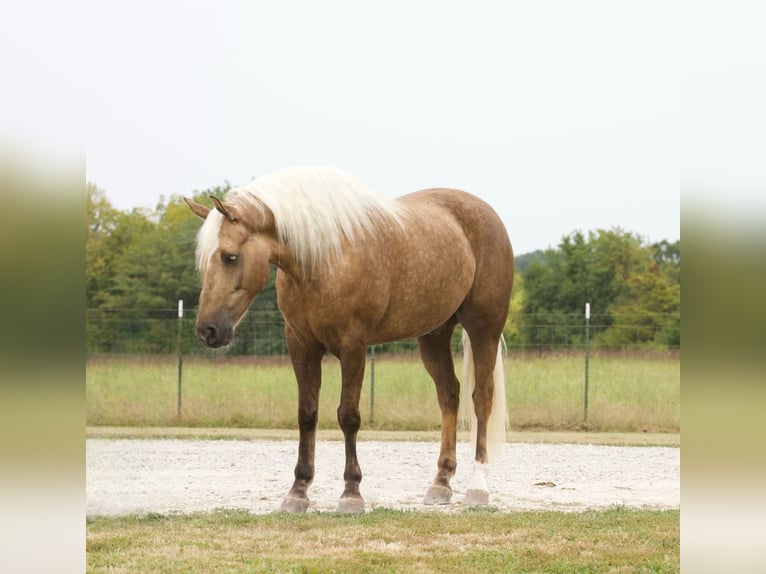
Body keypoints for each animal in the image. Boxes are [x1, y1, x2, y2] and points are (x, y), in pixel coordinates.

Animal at [184, 166, 514, 513]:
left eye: (230, 257)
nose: (208, 330)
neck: (323, 259)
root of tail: (486, 213)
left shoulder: (353, 346)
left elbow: (349, 416)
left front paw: (351, 492)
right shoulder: (300, 345)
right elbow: (307, 414)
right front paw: (297, 491)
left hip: (483, 329)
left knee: (482, 398)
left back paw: (478, 487)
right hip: (434, 335)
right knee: (449, 395)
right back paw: (441, 483)